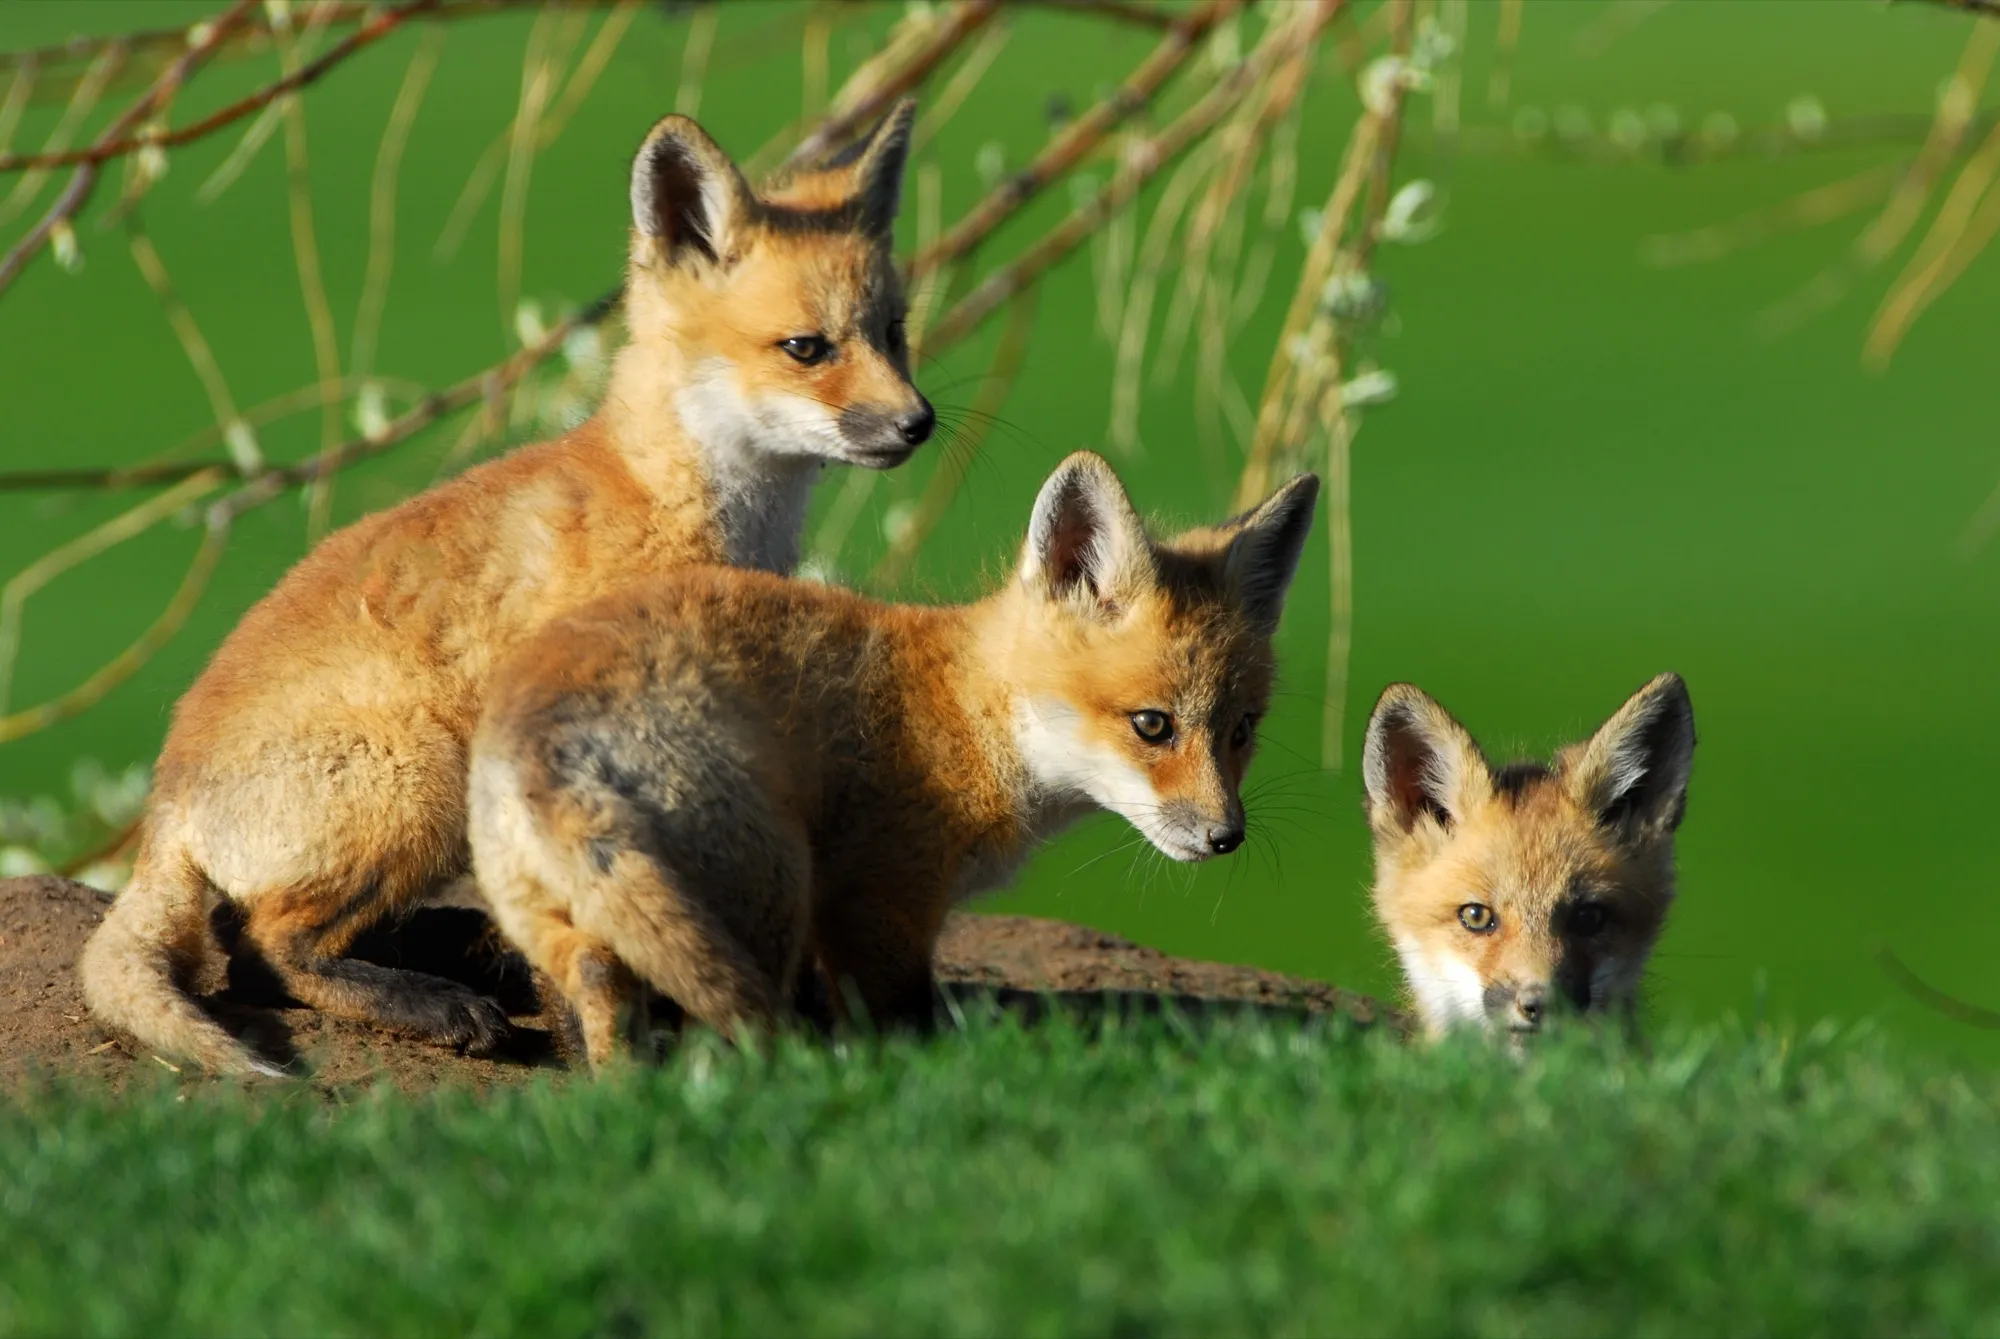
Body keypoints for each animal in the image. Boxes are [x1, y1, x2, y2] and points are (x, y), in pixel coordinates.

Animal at [79, 103, 935, 1076]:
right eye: (806, 348)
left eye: (894, 333)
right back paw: (432, 1001)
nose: (918, 422)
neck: (668, 502)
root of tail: (166, 798)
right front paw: (602, 1048)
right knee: (261, 949)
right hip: (426, 777)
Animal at [464, 451, 1320, 1068]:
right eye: (1152, 725)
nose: (1226, 836)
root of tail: (541, 742)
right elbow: (902, 1030)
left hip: (557, 916)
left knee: (593, 983)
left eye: (1242, 729)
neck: (962, 712)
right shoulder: (875, 902)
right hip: (772, 887)